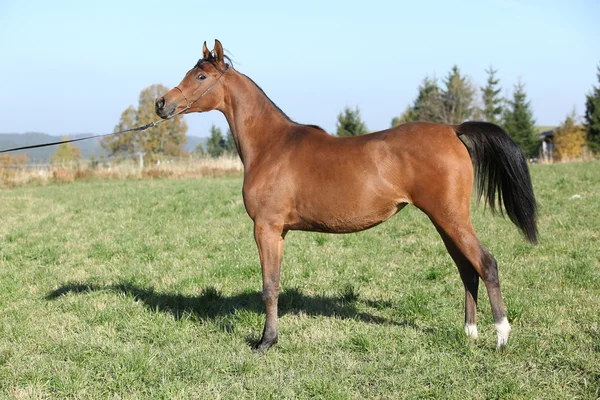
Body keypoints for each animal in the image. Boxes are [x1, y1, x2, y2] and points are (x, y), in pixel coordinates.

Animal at [156, 39, 540, 352]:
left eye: (200, 77)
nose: (161, 103)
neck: (271, 146)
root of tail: (453, 129)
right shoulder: (278, 231)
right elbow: (274, 284)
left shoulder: (266, 227)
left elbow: (269, 286)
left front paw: (266, 342)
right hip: (444, 222)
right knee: (467, 270)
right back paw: (469, 333)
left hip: (451, 218)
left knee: (486, 264)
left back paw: (501, 336)